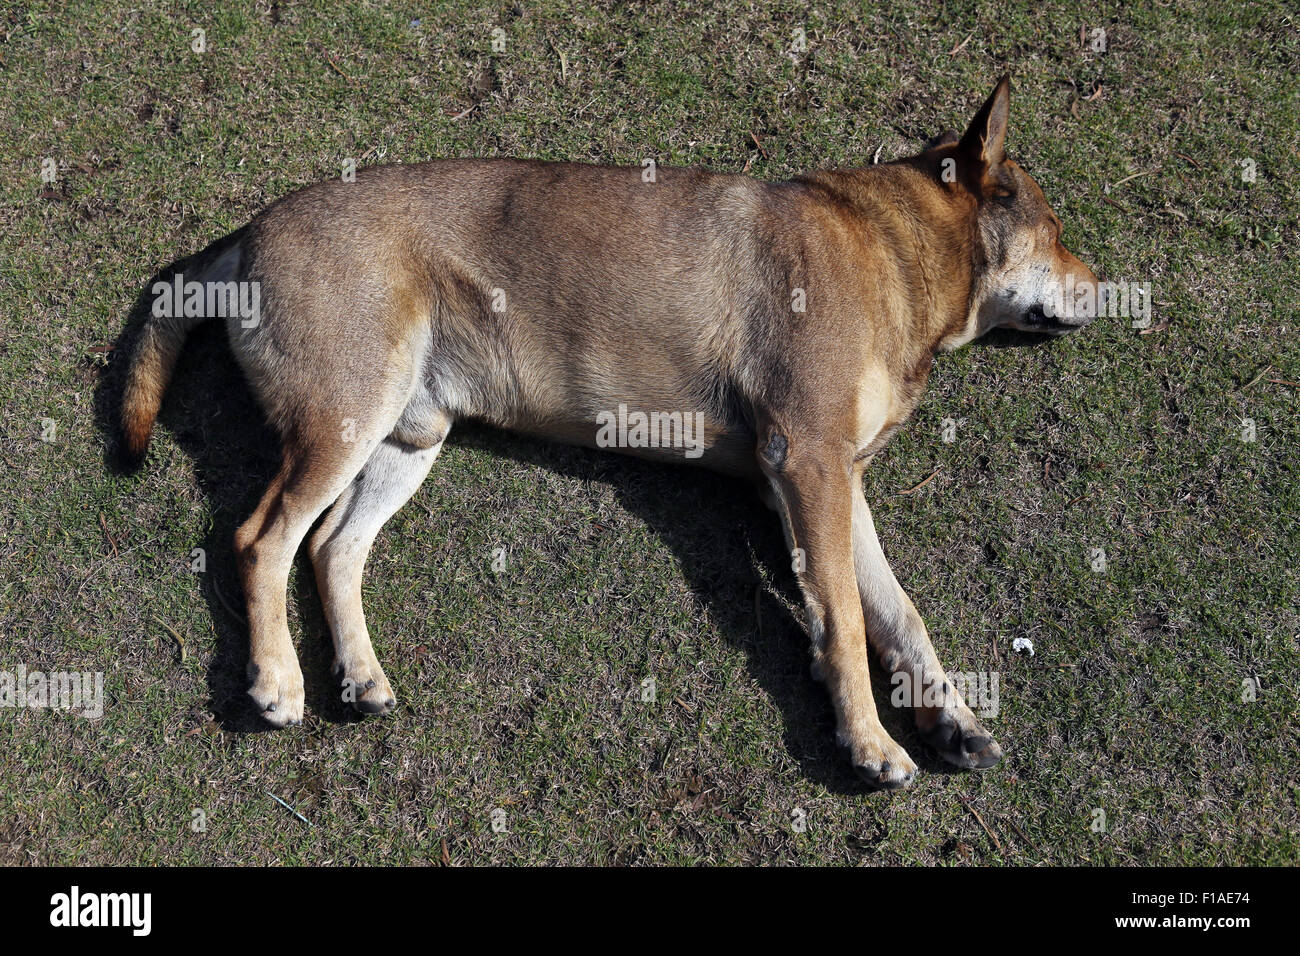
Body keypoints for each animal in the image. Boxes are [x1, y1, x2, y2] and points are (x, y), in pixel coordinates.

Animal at [119, 78, 1097, 790]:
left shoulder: (835, 484)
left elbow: (899, 613)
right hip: (347, 413)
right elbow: (851, 622)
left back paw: (357, 674)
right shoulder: (809, 465)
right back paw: (277, 681)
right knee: (261, 538)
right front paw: (869, 740)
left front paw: (950, 718)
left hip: (407, 438)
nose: (1108, 286)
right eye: (1054, 231)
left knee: (330, 548)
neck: (895, 245)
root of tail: (249, 231)